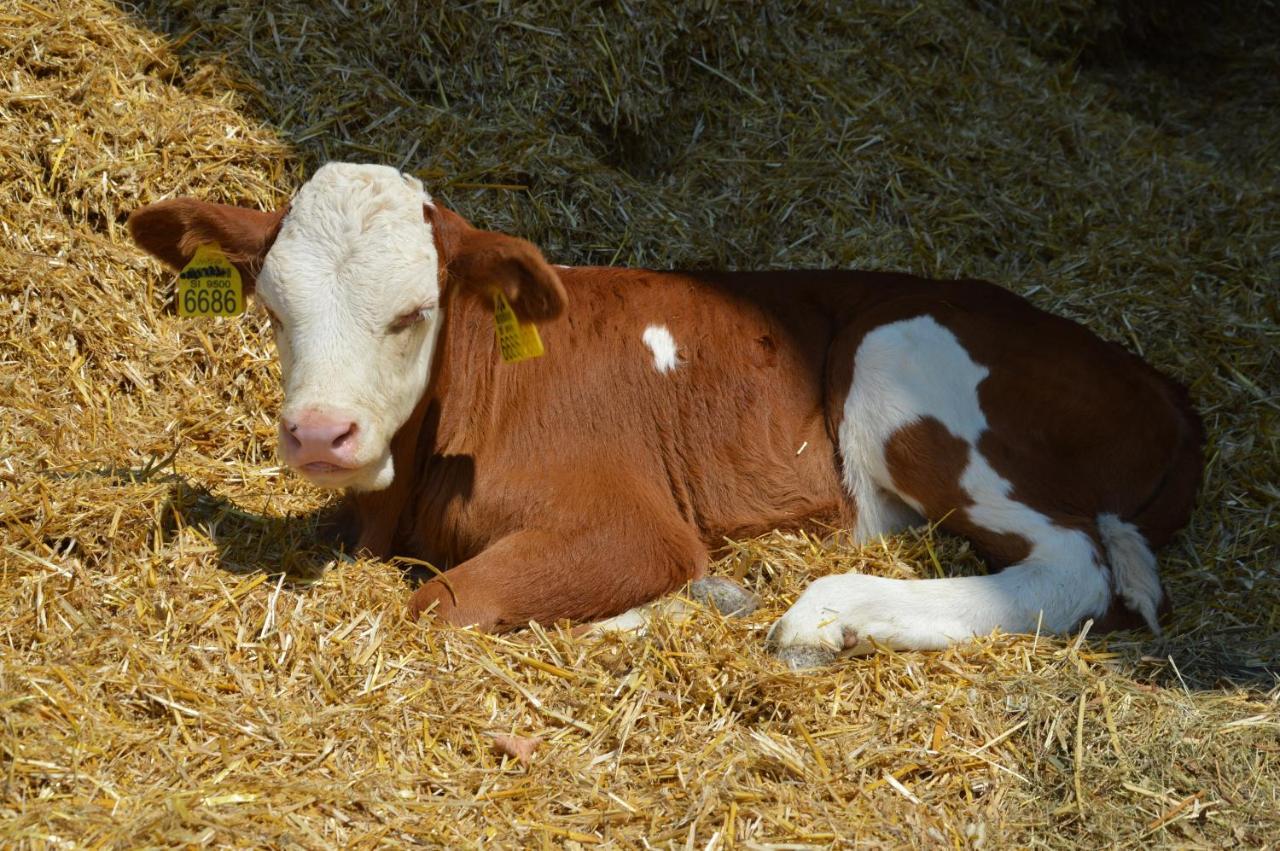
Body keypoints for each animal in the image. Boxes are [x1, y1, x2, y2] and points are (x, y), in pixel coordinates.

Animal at [129, 161, 1198, 665]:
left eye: (414, 312)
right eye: (273, 310)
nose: (319, 433)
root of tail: (1149, 372)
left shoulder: (628, 523)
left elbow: (439, 603)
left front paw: (675, 603)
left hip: (899, 354)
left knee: (1069, 562)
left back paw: (829, 611)